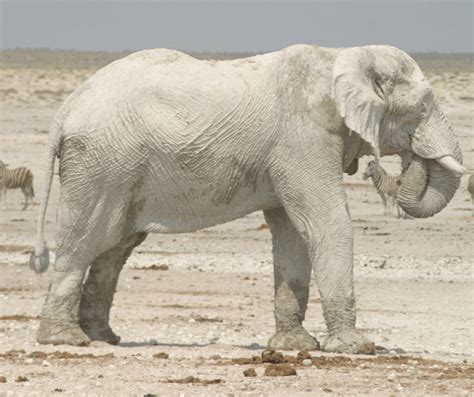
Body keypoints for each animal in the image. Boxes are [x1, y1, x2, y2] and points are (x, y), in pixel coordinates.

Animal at [30, 44, 466, 352]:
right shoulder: (304, 138)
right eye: (422, 108)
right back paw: (65, 340)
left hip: (115, 165)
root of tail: (68, 104)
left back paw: (104, 338)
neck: (344, 56)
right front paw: (355, 348)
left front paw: (293, 346)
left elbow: (292, 234)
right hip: (101, 161)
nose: (405, 160)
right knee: (85, 240)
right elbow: (326, 223)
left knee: (115, 247)